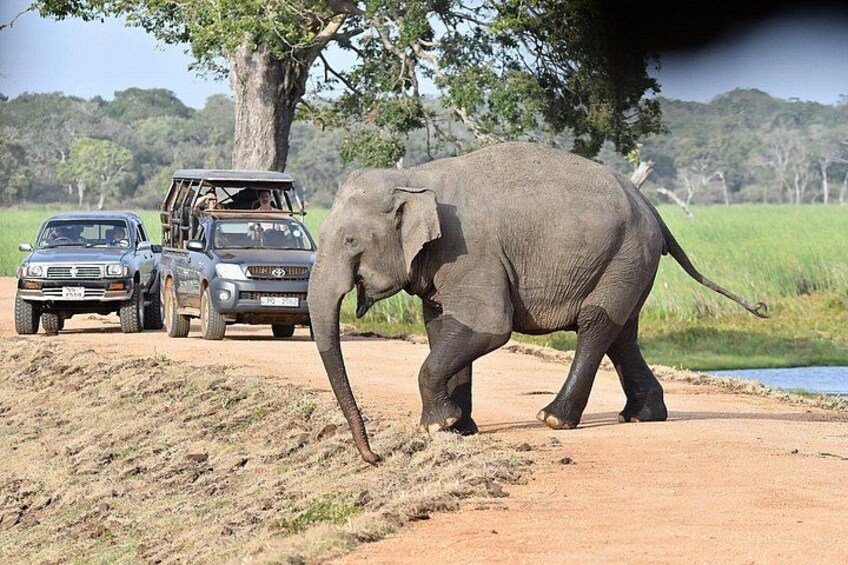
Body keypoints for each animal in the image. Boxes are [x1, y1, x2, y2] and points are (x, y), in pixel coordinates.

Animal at [308, 142, 767, 465]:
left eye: (350, 241)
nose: (375, 457)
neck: (413, 175)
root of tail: (651, 207)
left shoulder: (470, 252)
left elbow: (489, 326)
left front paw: (439, 426)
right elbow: (441, 326)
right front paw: (458, 428)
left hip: (625, 254)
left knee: (597, 324)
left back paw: (555, 419)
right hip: (630, 263)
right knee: (623, 332)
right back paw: (642, 415)